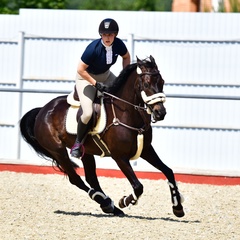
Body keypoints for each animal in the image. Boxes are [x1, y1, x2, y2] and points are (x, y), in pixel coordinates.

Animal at [20, 55, 185, 218]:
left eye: (162, 82)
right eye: (145, 83)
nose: (160, 113)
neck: (127, 113)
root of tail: (42, 111)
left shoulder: (146, 150)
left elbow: (168, 171)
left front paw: (177, 207)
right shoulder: (120, 157)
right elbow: (138, 186)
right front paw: (124, 201)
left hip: (86, 152)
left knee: (91, 179)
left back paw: (110, 206)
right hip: (58, 151)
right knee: (76, 179)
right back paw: (108, 204)